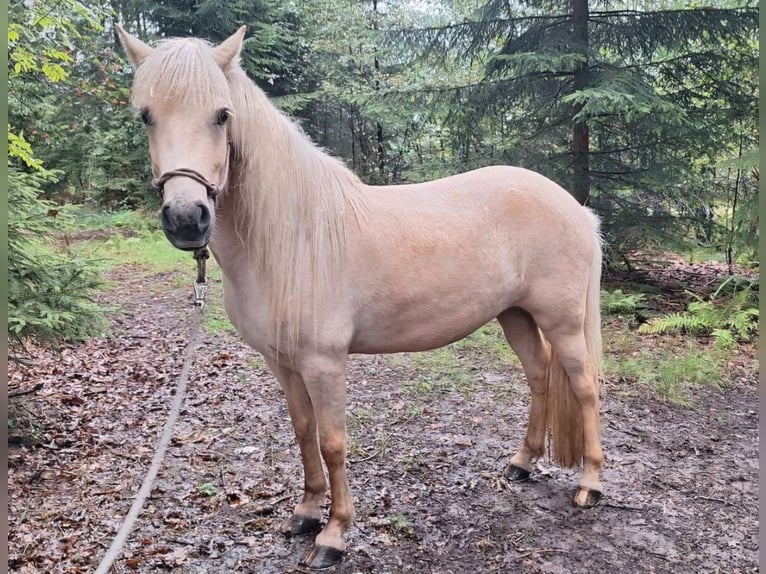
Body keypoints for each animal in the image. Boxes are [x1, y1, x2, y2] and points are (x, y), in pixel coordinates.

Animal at [117, 25, 608, 572]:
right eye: (146, 115)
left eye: (222, 115)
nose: (187, 219)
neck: (292, 236)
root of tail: (576, 208)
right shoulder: (282, 362)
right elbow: (303, 432)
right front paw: (306, 512)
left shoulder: (324, 362)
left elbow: (333, 442)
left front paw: (334, 534)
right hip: (515, 315)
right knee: (539, 375)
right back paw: (522, 463)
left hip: (562, 321)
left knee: (584, 386)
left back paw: (590, 485)